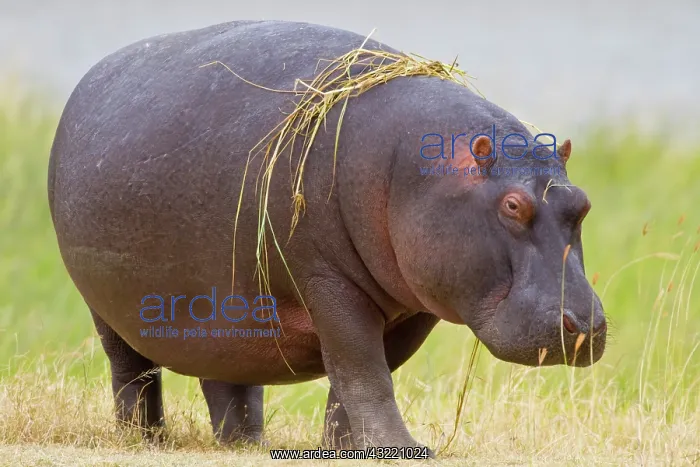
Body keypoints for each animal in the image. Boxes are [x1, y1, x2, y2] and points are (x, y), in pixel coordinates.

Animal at [48, 20, 606, 456]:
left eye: (582, 203)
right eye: (512, 205)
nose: (585, 326)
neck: (413, 171)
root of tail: (89, 80)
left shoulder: (413, 303)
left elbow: (357, 377)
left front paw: (344, 448)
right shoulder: (328, 282)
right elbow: (362, 369)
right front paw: (402, 448)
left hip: (231, 310)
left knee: (228, 381)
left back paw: (246, 443)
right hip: (106, 310)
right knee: (132, 373)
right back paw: (143, 439)